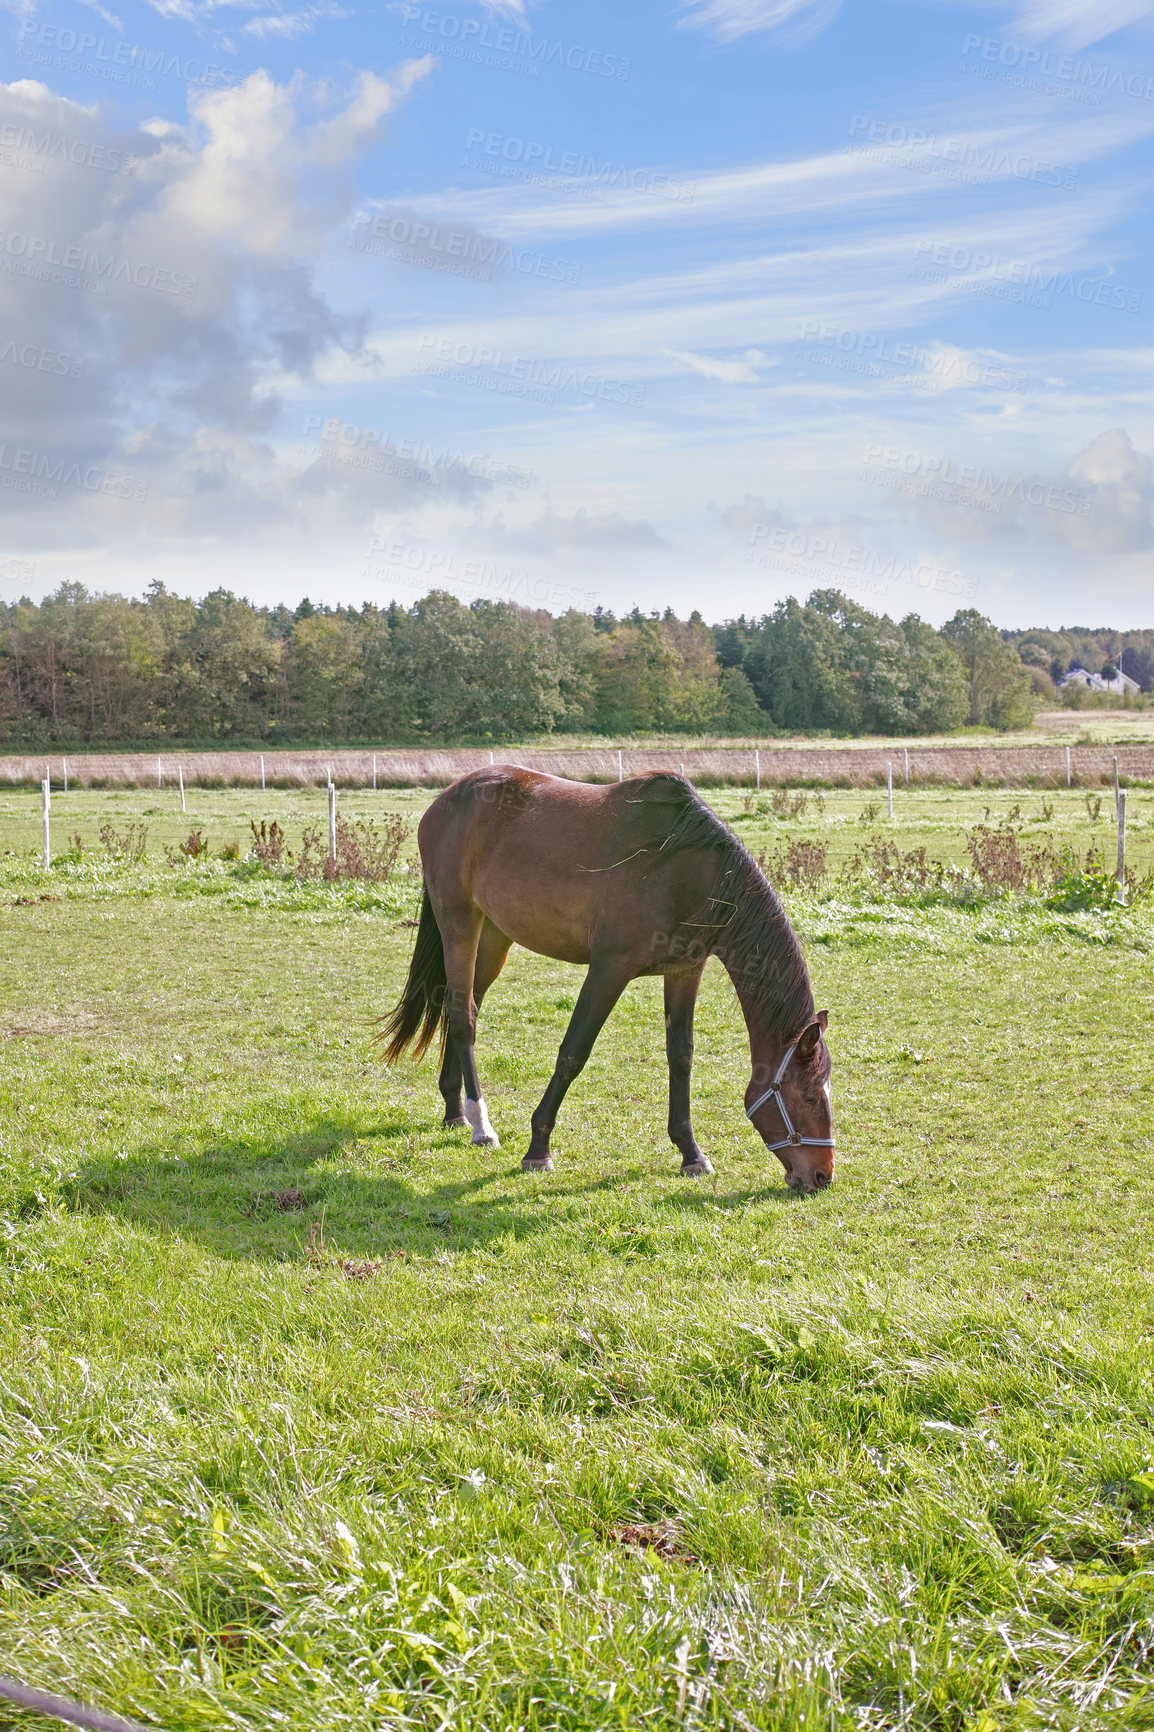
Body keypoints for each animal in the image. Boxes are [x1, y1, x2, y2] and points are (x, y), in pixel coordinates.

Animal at [381, 767, 835, 1192]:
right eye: (811, 1094)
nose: (822, 1176)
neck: (687, 870)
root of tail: (446, 799)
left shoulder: (685, 970)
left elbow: (681, 1056)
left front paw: (691, 1152)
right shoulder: (609, 969)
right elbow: (573, 1052)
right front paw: (538, 1148)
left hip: (494, 933)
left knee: (462, 1004)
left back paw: (454, 1110)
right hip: (459, 922)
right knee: (462, 1016)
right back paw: (481, 1125)